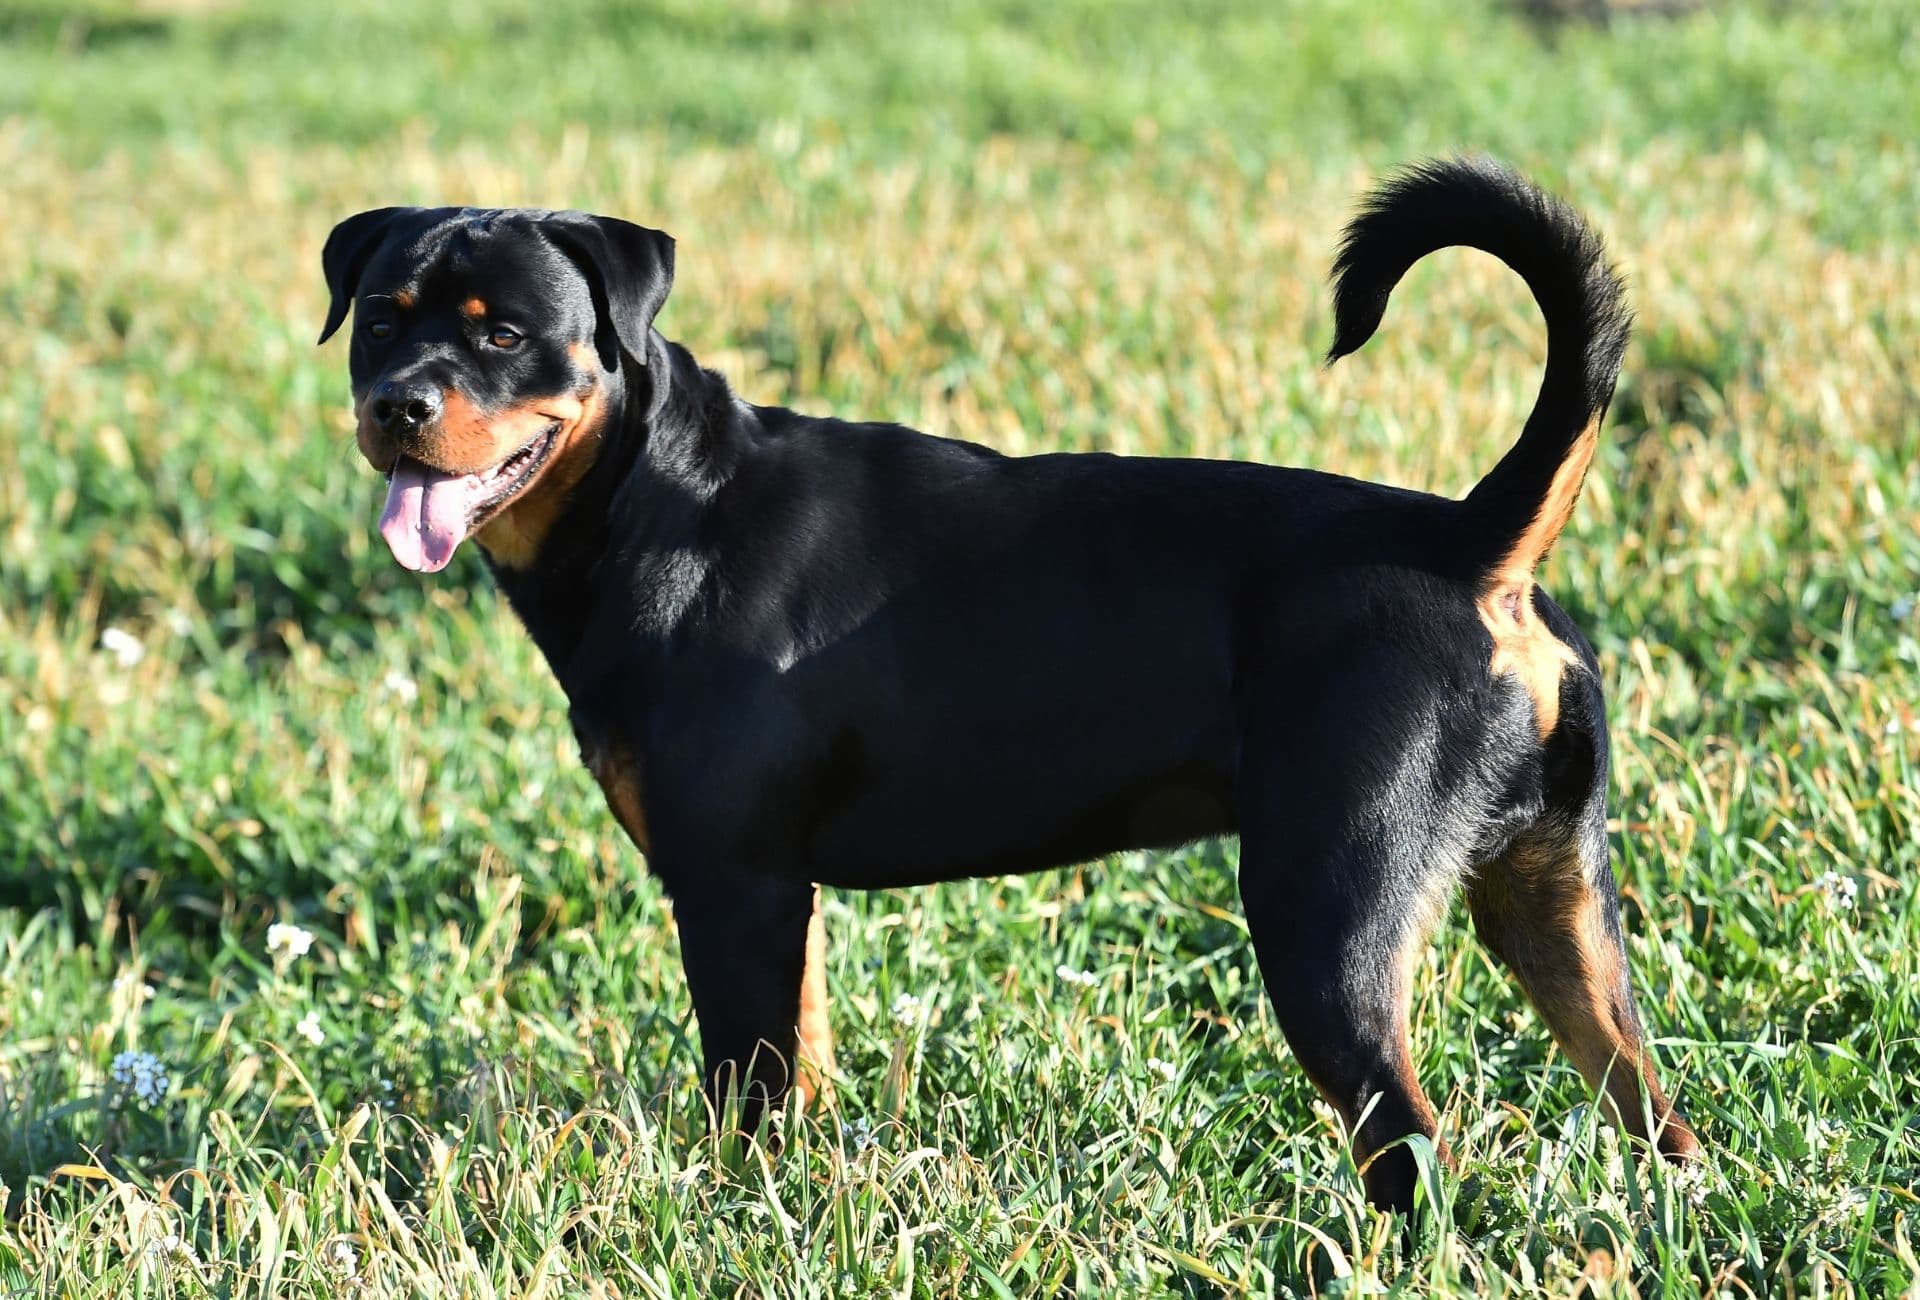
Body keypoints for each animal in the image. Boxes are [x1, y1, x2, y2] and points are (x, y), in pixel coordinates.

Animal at [322, 157, 1704, 1213]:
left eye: (505, 333)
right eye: (383, 318)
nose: (398, 403)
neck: (657, 502)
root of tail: (1473, 540)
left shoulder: (731, 886)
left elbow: (746, 1092)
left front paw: (732, 1214)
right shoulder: (778, 897)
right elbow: (801, 1064)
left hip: (1328, 915)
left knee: (1409, 1147)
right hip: (1555, 899)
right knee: (1652, 1106)